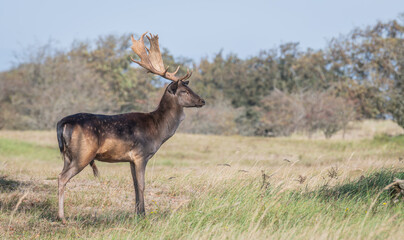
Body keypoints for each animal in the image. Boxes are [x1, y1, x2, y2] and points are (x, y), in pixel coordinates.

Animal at [56, 31, 205, 223]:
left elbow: (134, 185)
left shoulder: (130, 159)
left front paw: (137, 214)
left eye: (190, 88)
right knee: (62, 177)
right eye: (184, 91)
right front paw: (144, 216)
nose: (202, 100)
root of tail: (63, 123)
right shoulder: (141, 155)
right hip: (83, 152)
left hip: (68, 155)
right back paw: (62, 217)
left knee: (61, 174)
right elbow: (142, 185)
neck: (157, 129)